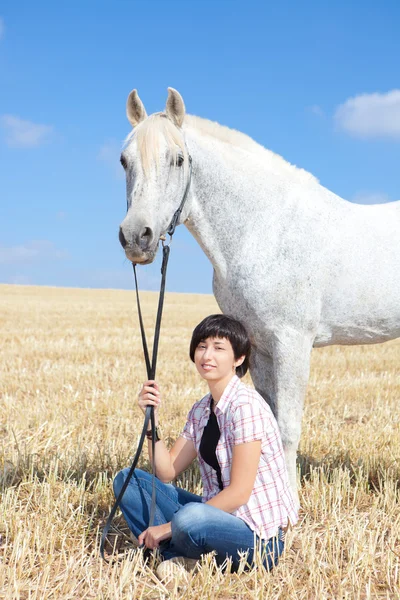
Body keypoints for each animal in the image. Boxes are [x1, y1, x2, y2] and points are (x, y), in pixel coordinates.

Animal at [119, 86, 400, 504]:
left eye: (178, 160)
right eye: (124, 161)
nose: (136, 237)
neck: (265, 228)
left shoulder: (292, 343)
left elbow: (287, 428)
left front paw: (291, 506)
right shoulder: (261, 346)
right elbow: (267, 419)